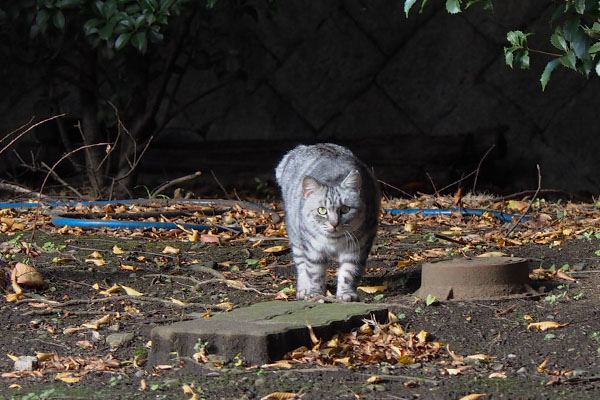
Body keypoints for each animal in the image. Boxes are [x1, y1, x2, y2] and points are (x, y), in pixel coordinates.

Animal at [276, 143, 380, 300]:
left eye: (345, 209)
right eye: (322, 210)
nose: (334, 223)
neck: (334, 241)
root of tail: (304, 147)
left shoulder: (357, 248)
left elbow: (349, 272)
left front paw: (346, 294)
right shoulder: (313, 249)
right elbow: (315, 273)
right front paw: (315, 294)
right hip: (296, 238)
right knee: (301, 265)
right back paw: (303, 289)